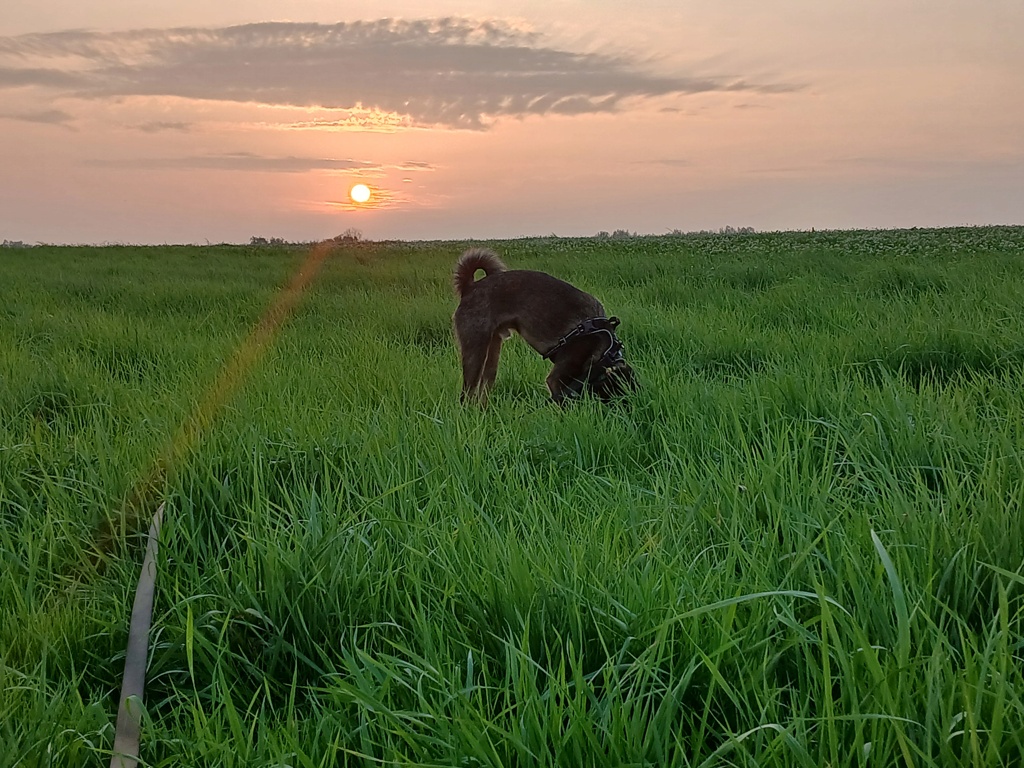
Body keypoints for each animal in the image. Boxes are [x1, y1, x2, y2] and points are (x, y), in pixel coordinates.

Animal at [452, 249, 634, 405]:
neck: (604, 351)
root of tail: (471, 287)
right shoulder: (556, 381)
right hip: (475, 352)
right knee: (466, 395)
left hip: (492, 355)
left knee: (482, 392)